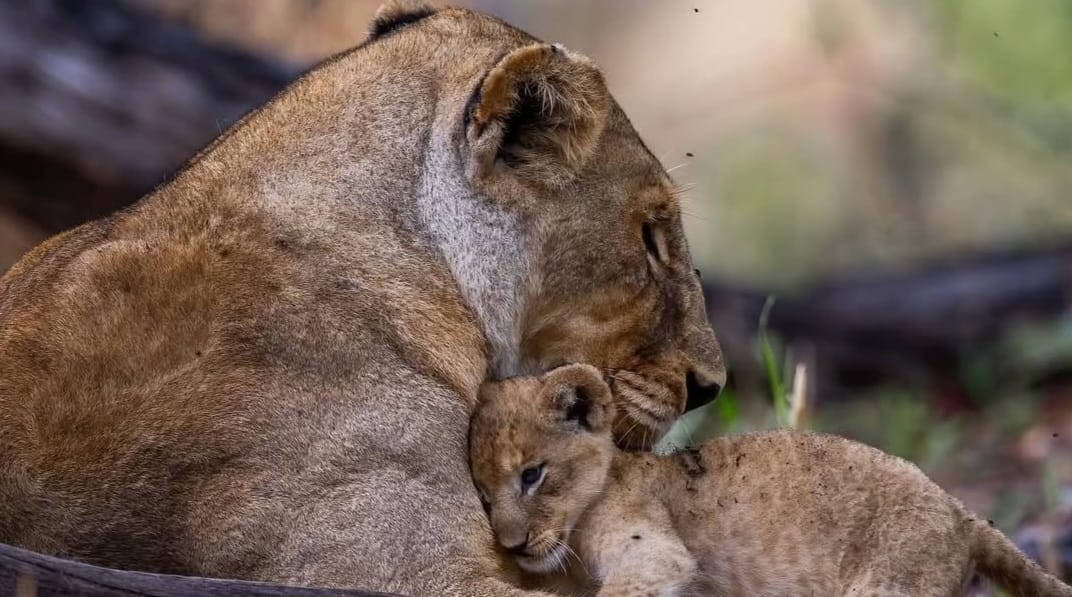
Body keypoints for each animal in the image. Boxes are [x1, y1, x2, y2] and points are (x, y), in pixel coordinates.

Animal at [470, 365, 1072, 597]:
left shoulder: (655, 549)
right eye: (482, 491)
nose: (511, 545)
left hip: (890, 582)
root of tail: (957, 508)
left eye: (532, 475)